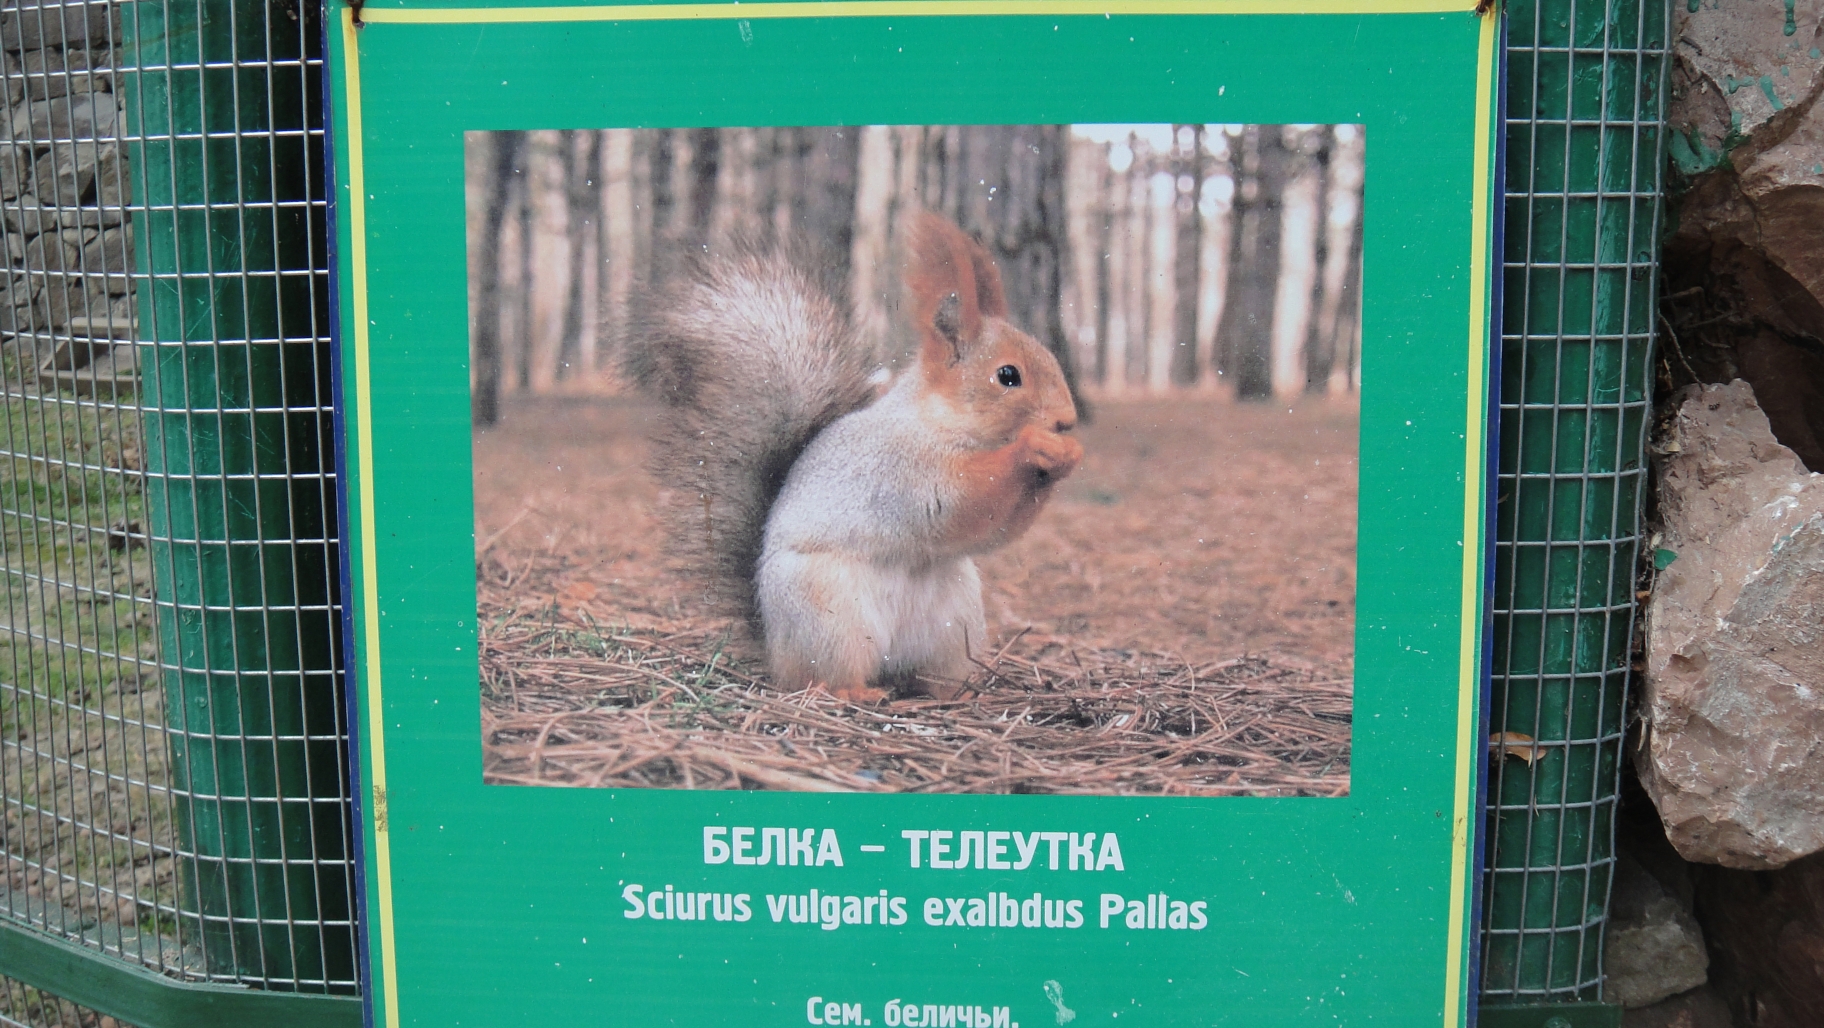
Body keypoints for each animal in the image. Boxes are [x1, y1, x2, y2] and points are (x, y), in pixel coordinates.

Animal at [622, 211, 1083, 703]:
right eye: (1008, 376)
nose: (1067, 420)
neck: (939, 421)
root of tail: (776, 651)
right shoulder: (903, 472)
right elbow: (965, 501)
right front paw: (1032, 448)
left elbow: (997, 529)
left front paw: (1067, 456)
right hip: (832, 616)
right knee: (824, 677)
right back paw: (856, 692)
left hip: (954, 623)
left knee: (929, 674)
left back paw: (954, 692)